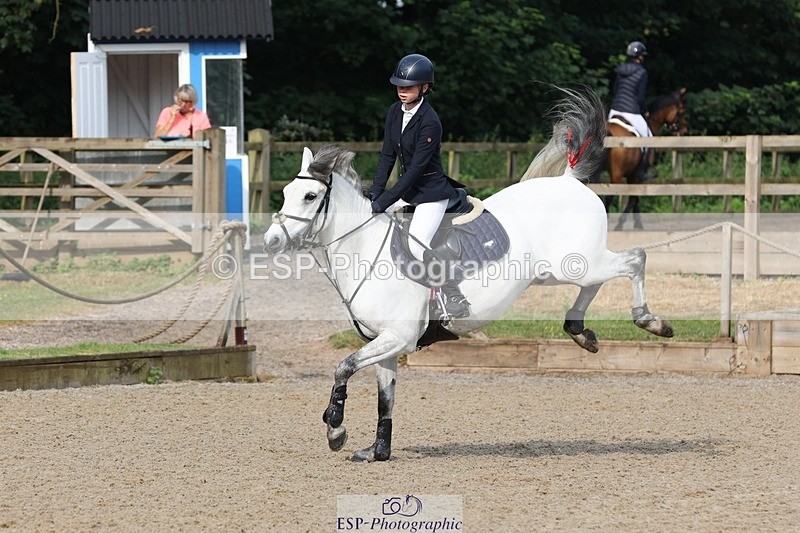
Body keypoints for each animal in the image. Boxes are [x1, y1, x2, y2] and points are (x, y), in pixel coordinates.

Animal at [263, 88, 674, 462]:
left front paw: (335, 429)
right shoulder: (386, 342)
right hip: (564, 268)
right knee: (599, 279)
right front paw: (377, 451)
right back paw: (580, 332)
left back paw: (650, 322)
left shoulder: (398, 337)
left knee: (634, 260)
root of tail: (569, 180)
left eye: (310, 197)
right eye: (286, 191)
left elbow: (343, 367)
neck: (365, 248)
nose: (270, 241)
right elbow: (385, 399)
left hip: (577, 262)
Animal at [605, 87, 687, 230]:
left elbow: (635, 199)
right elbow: (634, 198)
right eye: (681, 111)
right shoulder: (637, 175)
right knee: (608, 196)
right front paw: (623, 223)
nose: (684, 131)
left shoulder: (632, 175)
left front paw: (637, 223)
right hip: (616, 175)